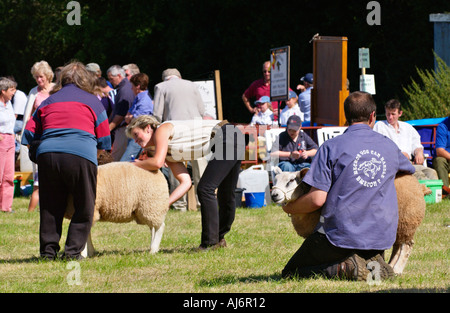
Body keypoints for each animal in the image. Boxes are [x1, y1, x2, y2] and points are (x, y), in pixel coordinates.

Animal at [272, 166, 430, 272]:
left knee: (407, 245)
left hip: (407, 220)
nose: (274, 195)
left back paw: (397, 270)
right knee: (398, 245)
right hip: (399, 225)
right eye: (275, 180)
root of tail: (419, 186)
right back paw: (390, 266)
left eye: (292, 180)